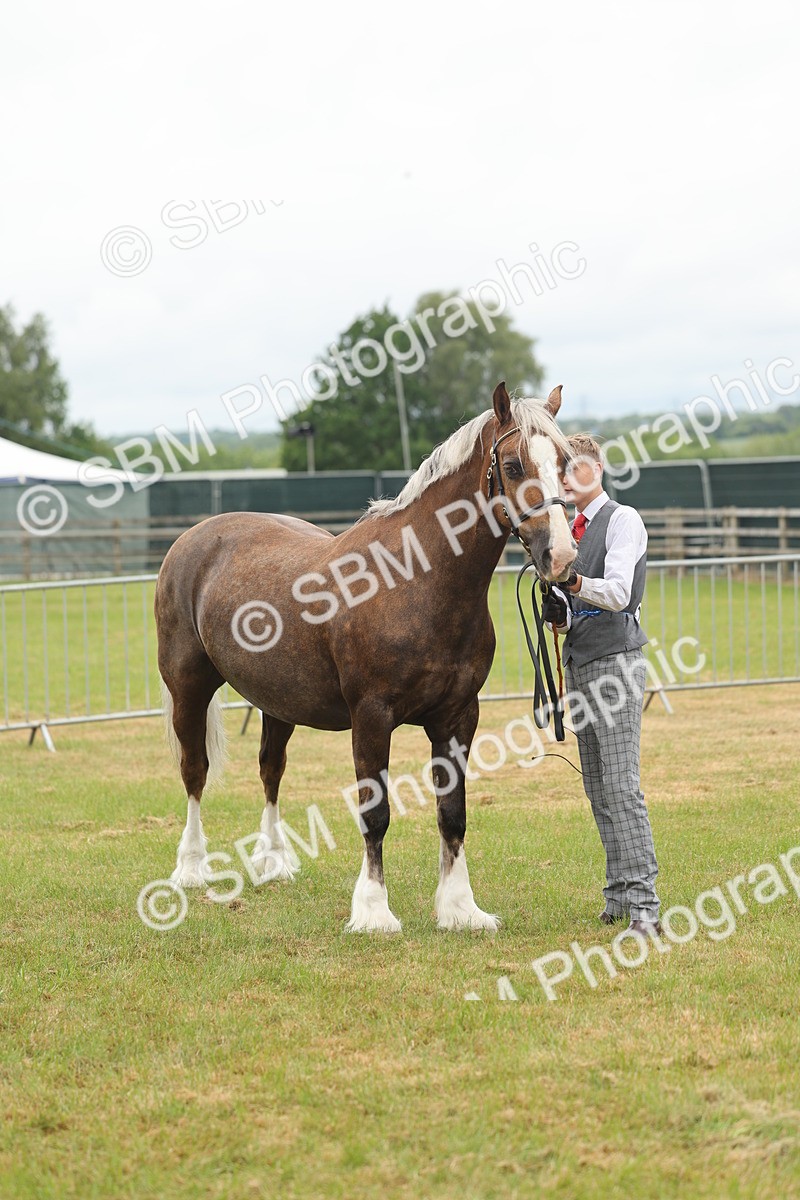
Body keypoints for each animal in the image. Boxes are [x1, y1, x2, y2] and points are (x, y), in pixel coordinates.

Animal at [154, 381, 577, 932]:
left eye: (564, 461)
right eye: (512, 465)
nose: (561, 558)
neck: (415, 580)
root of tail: (193, 538)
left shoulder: (458, 717)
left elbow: (453, 813)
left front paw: (461, 909)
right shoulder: (372, 717)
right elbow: (375, 814)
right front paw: (374, 912)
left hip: (277, 702)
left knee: (271, 770)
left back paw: (274, 863)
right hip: (188, 687)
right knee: (195, 771)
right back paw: (191, 870)